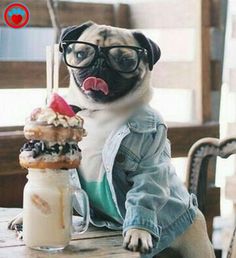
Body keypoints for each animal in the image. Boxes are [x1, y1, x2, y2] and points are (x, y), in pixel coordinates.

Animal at [8, 21, 216, 258]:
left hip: (197, 244)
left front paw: (138, 231)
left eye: (125, 61)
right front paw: (24, 217)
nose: (101, 64)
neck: (101, 111)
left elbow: (144, 192)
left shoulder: (148, 165)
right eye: (81, 54)